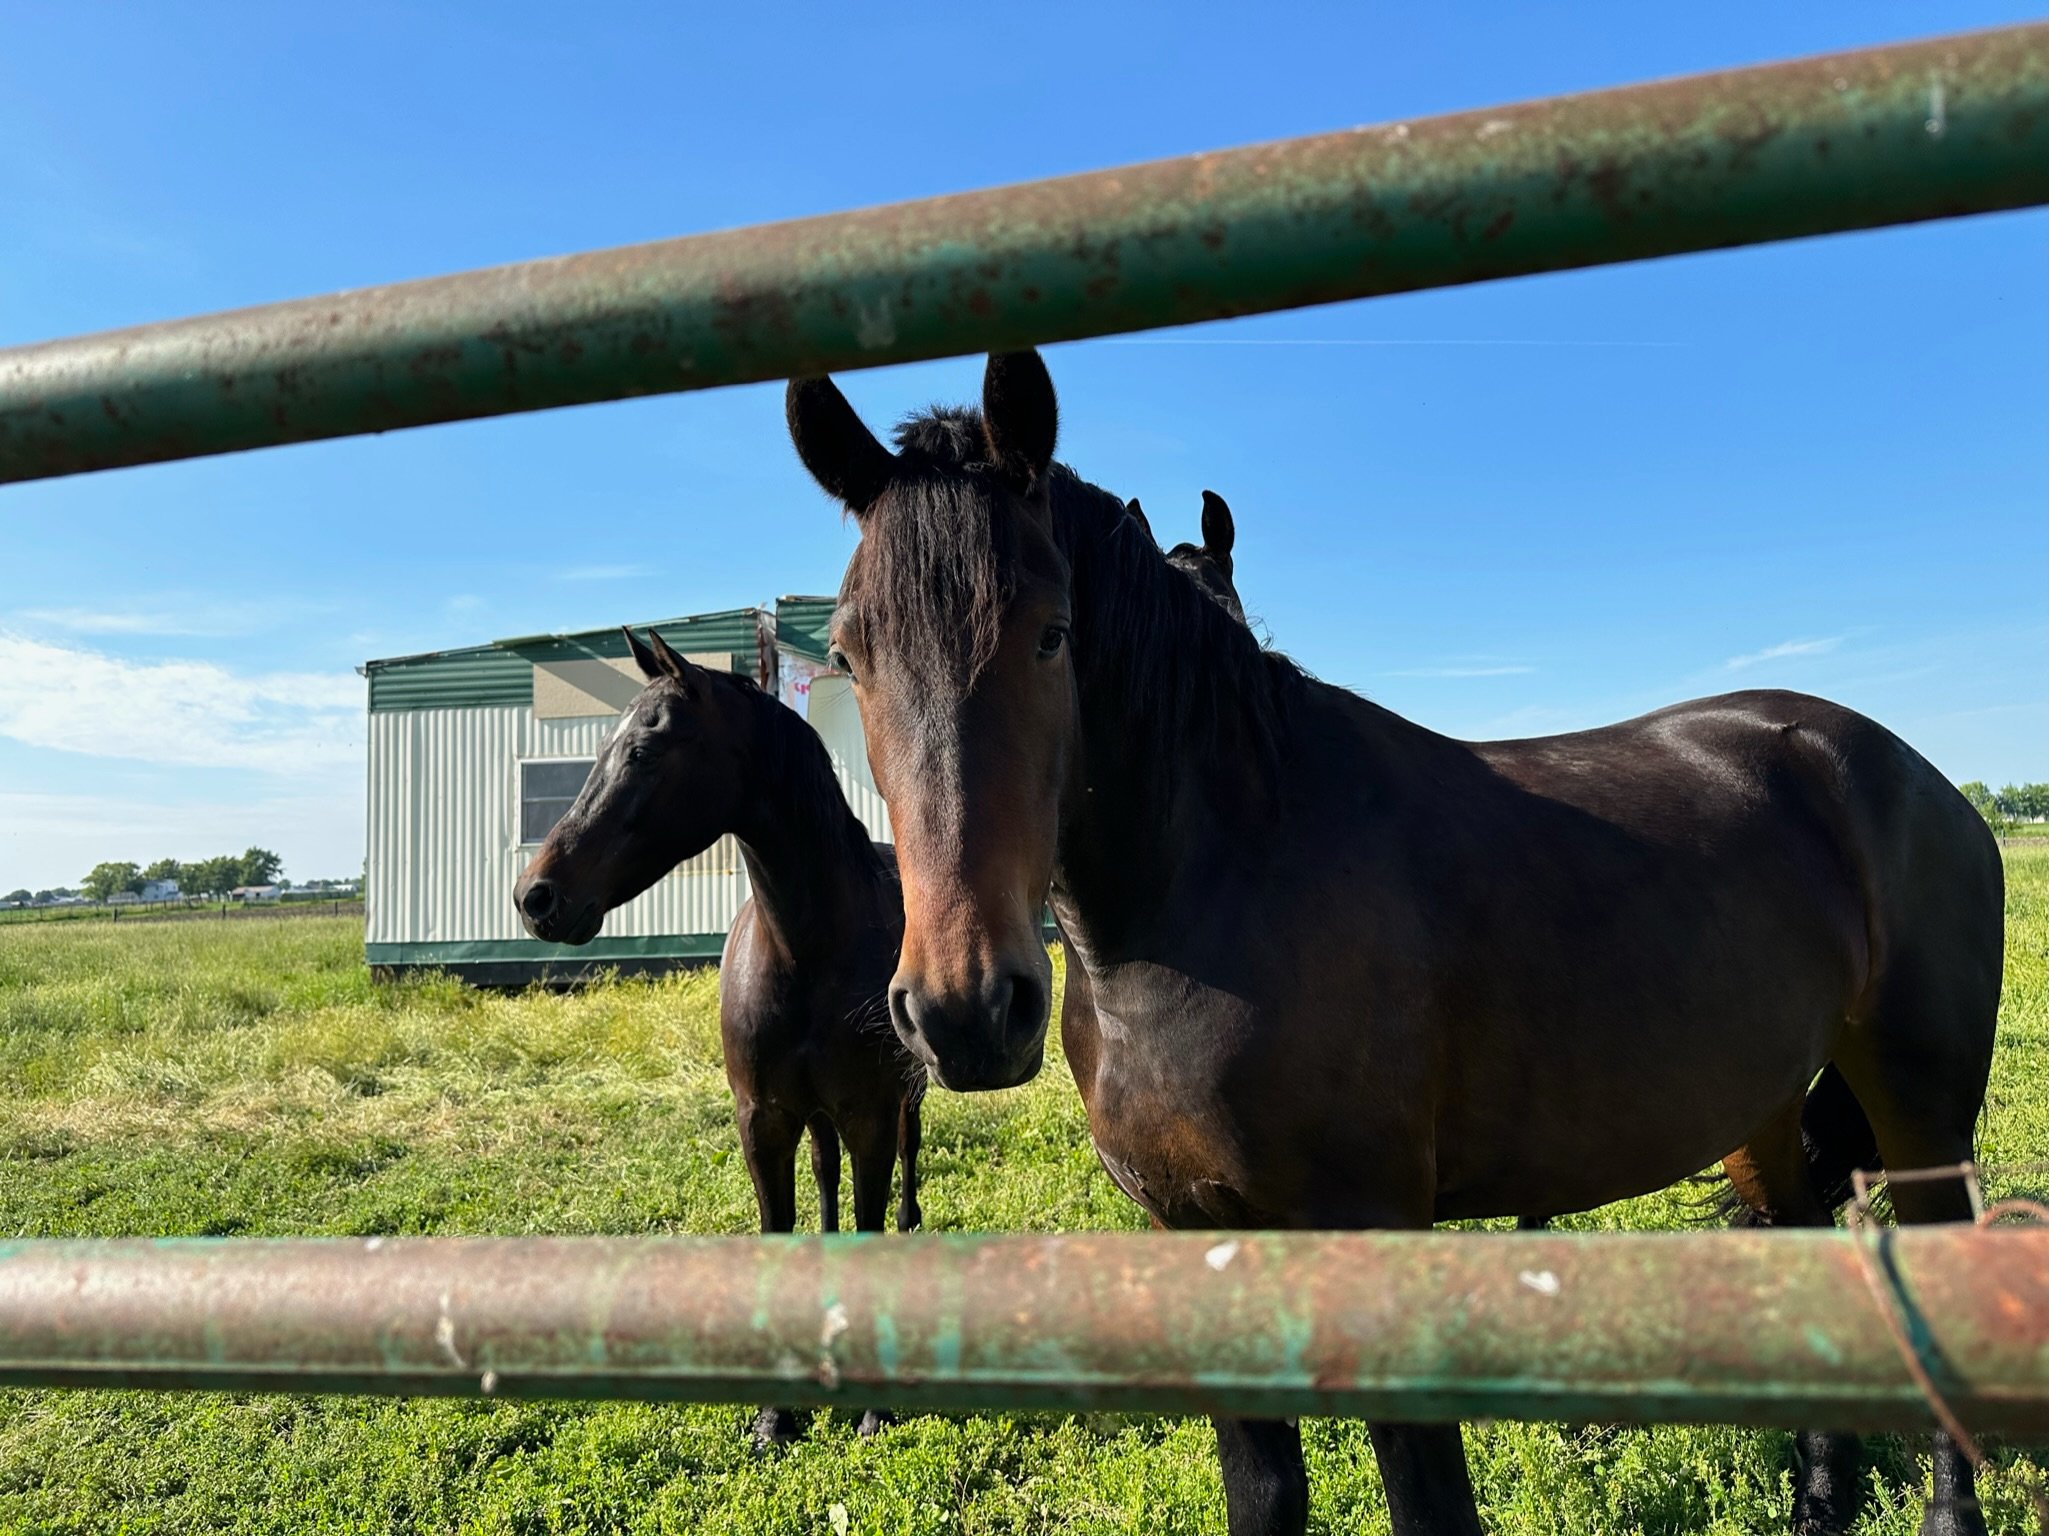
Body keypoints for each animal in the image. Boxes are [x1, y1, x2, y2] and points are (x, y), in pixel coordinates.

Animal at [511, 627, 925, 1450]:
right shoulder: (762, 1120)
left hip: (902, 1101)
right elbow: (779, 1225)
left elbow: (869, 1217)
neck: (807, 952)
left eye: (644, 750)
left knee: (904, 1179)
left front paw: (871, 1408)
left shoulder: (867, 1115)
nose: (535, 897)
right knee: (824, 1178)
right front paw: (775, 1414)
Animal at [785, 352, 2005, 1536]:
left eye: (1051, 632)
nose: (966, 1013)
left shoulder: (1373, 1240)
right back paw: (1821, 1501)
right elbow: (1265, 1497)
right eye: (850, 654)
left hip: (1920, 1103)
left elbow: (1429, 1506)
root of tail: (1900, 770)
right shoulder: (1193, 1238)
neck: (1225, 885)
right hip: (1756, 1103)